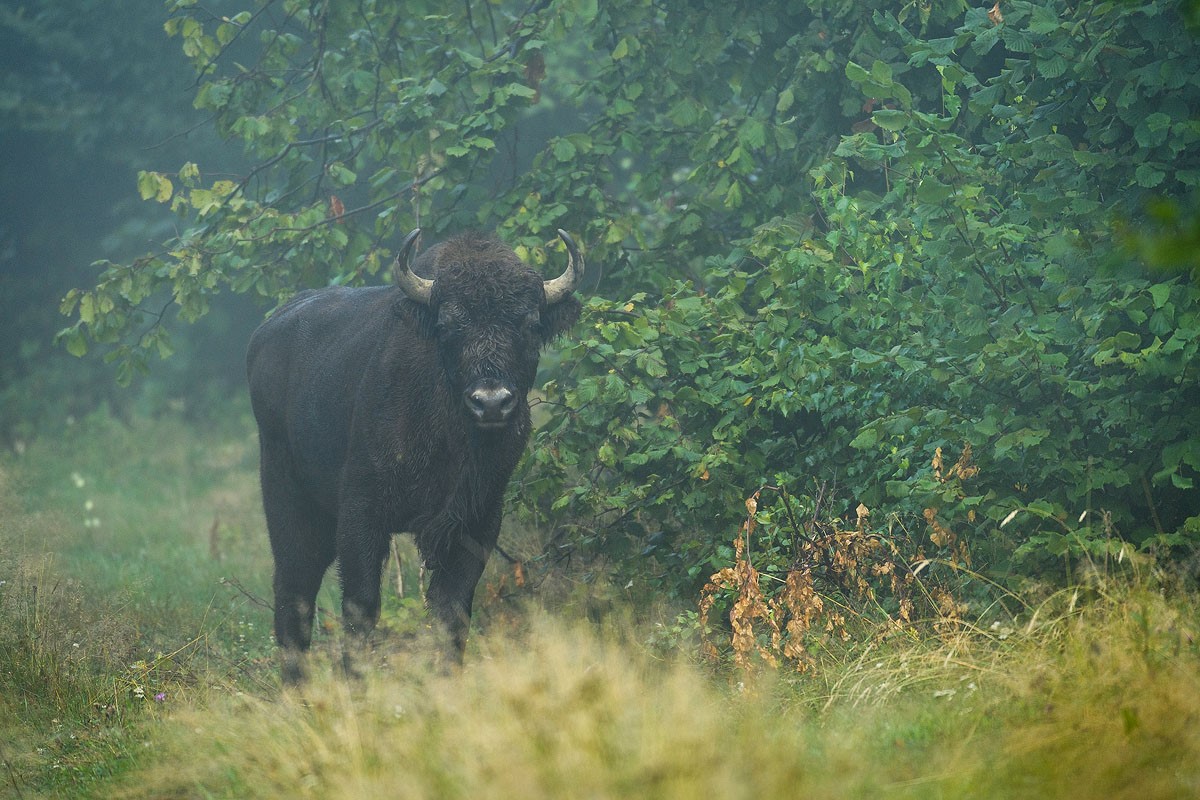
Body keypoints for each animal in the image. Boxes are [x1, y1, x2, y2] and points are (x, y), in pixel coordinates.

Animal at [246, 226, 583, 681]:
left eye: (530, 323)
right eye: (447, 325)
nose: (491, 402)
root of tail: (264, 335)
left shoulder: (476, 523)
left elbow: (451, 612)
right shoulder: (362, 515)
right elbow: (362, 607)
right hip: (288, 500)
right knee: (294, 591)